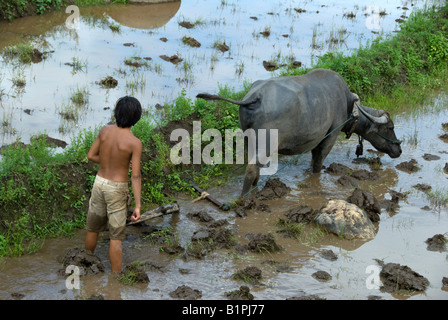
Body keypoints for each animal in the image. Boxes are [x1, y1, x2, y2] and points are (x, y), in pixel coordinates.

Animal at [196, 69, 402, 196]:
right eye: (390, 128)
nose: (398, 150)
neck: (350, 108)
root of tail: (256, 96)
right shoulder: (330, 136)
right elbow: (318, 162)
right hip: (267, 143)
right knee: (252, 169)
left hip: (250, 140)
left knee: (254, 168)